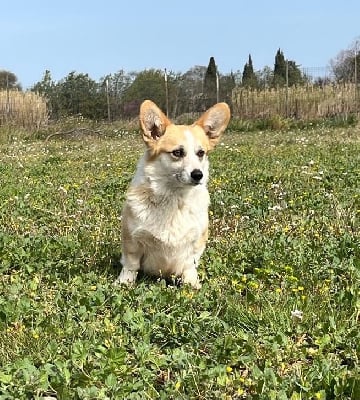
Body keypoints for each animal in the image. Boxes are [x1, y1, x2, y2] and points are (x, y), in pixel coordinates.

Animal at [116, 99, 231, 288]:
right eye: (177, 152)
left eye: (201, 153)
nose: (198, 175)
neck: (174, 198)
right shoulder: (132, 240)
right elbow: (131, 265)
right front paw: (124, 283)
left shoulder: (196, 243)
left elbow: (189, 266)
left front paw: (193, 285)